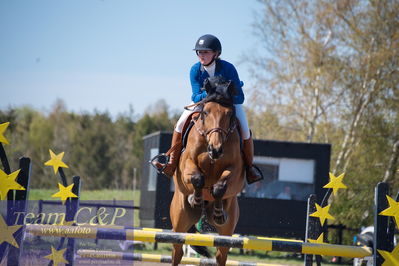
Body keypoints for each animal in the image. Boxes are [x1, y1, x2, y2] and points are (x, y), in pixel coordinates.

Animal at [170, 76, 245, 264]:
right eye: (205, 113)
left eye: (229, 114)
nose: (215, 150)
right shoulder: (187, 163)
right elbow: (197, 178)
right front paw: (195, 199)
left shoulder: (235, 169)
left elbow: (220, 187)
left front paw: (218, 212)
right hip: (179, 222)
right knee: (177, 252)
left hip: (226, 232)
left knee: (221, 255)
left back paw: (217, 214)